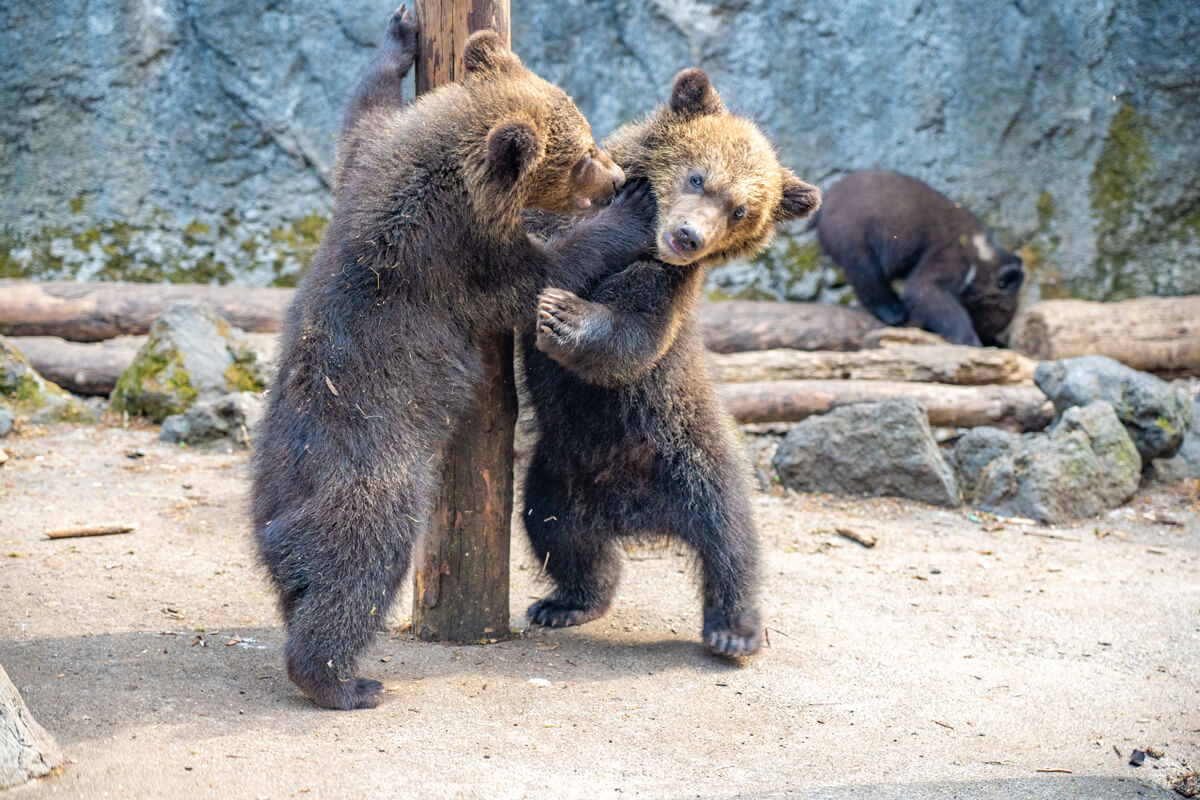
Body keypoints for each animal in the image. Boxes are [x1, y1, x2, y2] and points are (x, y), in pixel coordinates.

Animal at [250, 11, 656, 710]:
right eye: (580, 155)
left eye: (588, 134)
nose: (611, 179)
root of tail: (278, 524)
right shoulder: (456, 259)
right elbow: (544, 273)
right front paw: (632, 211)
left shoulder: (366, 169)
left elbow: (362, 118)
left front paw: (400, 35)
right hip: (369, 482)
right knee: (357, 570)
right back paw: (346, 681)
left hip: (275, 489)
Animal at [519, 68, 820, 657]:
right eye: (698, 177)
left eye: (741, 210)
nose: (688, 236)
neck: (646, 250)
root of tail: (635, 513)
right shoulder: (556, 219)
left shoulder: (667, 289)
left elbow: (632, 341)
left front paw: (564, 314)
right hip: (557, 467)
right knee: (554, 529)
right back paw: (566, 602)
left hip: (688, 453)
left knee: (731, 535)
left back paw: (733, 630)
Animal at [811, 170, 1025, 347]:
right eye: (996, 315)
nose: (994, 338)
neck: (980, 254)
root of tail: (825, 202)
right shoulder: (950, 251)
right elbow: (926, 288)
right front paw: (969, 339)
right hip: (853, 231)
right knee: (865, 273)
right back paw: (894, 312)